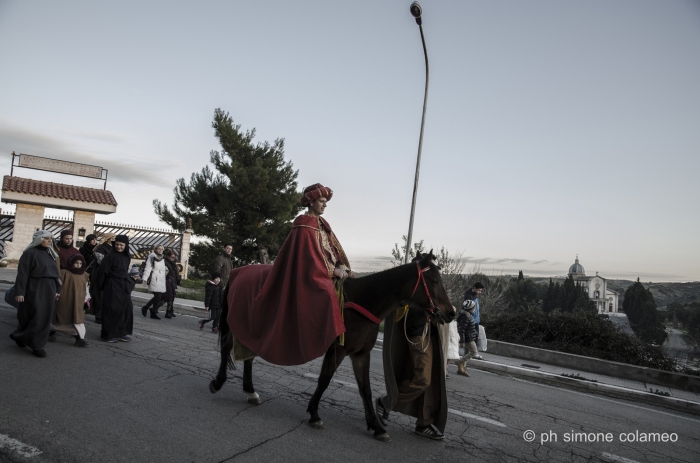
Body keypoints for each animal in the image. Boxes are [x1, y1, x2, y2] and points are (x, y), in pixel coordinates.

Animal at [208, 254, 456, 442]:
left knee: (247, 356)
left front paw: (376, 426)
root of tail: (238, 272)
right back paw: (218, 382)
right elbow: (325, 380)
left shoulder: (360, 354)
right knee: (227, 346)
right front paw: (314, 413)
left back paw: (250, 391)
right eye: (433, 280)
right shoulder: (338, 350)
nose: (451, 312)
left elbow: (365, 389)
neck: (362, 302)